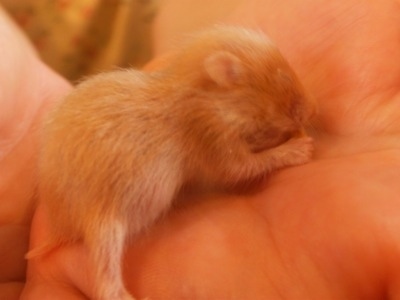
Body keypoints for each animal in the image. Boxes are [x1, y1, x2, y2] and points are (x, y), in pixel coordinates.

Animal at [27, 26, 316, 300]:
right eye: (283, 77)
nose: (310, 113)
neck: (203, 94)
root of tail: (64, 225)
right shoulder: (212, 137)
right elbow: (241, 168)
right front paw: (298, 148)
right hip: (107, 224)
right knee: (105, 281)